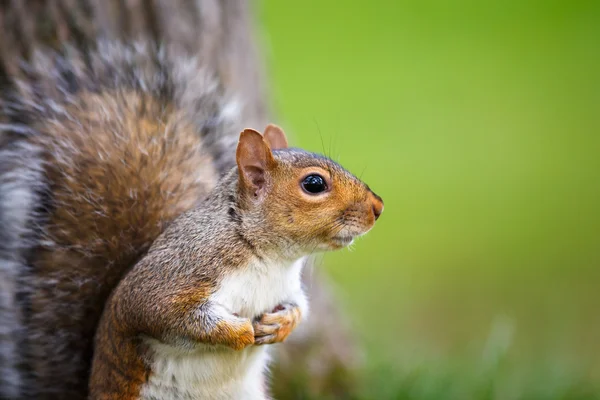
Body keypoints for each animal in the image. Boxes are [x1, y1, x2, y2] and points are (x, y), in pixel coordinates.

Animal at [89, 126, 384, 400]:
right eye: (314, 184)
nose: (378, 207)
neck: (272, 259)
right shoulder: (172, 276)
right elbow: (164, 313)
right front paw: (240, 331)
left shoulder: (287, 288)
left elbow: (299, 306)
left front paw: (281, 325)